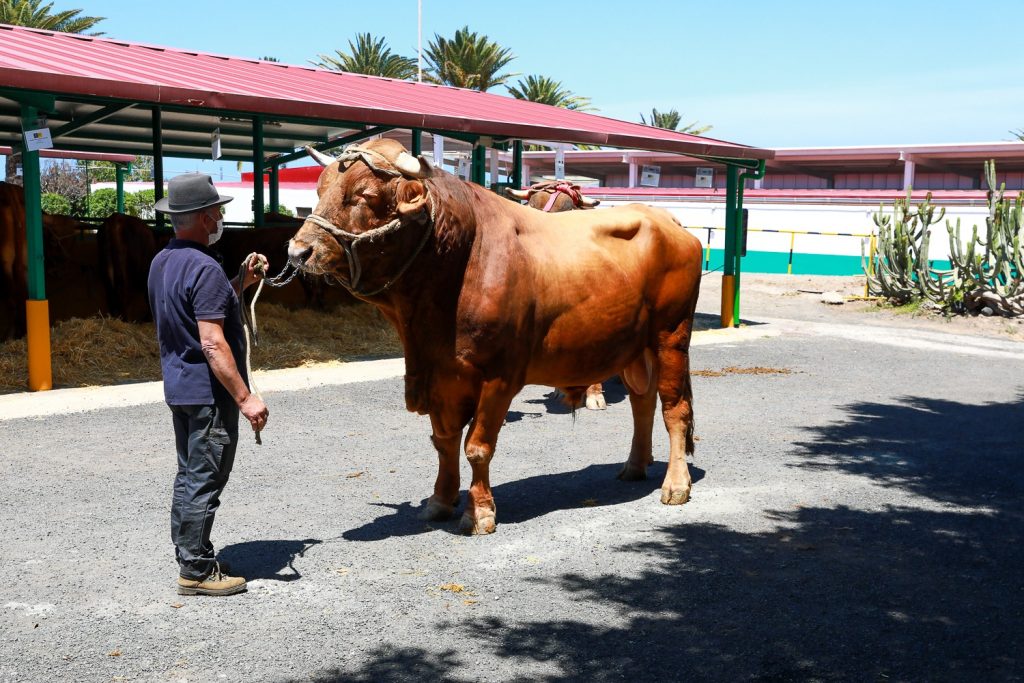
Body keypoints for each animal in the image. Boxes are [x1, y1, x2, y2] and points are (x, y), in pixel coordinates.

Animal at [288, 137, 704, 532]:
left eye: (365, 195)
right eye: (320, 188)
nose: (297, 251)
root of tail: (667, 220)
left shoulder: (498, 376)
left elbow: (477, 446)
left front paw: (480, 512)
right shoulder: (443, 374)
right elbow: (444, 441)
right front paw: (440, 500)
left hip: (671, 336)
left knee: (675, 409)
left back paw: (675, 483)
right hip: (635, 346)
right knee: (642, 402)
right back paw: (635, 465)